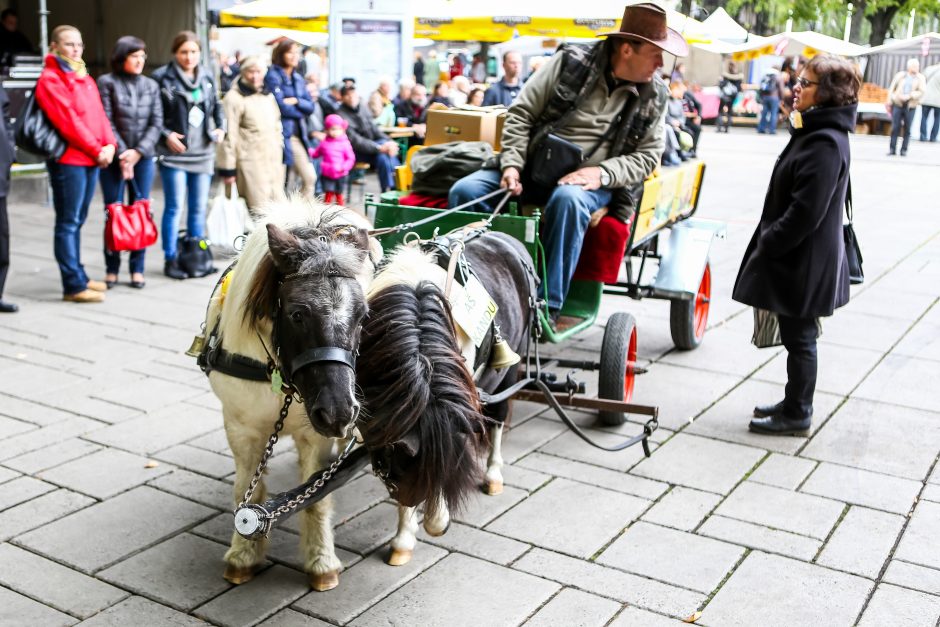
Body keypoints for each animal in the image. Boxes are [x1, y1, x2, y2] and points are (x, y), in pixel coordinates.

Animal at [356, 233, 536, 568]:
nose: (439, 527)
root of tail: (508, 239)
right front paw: (404, 539)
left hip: (510, 366)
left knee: (499, 416)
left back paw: (493, 475)